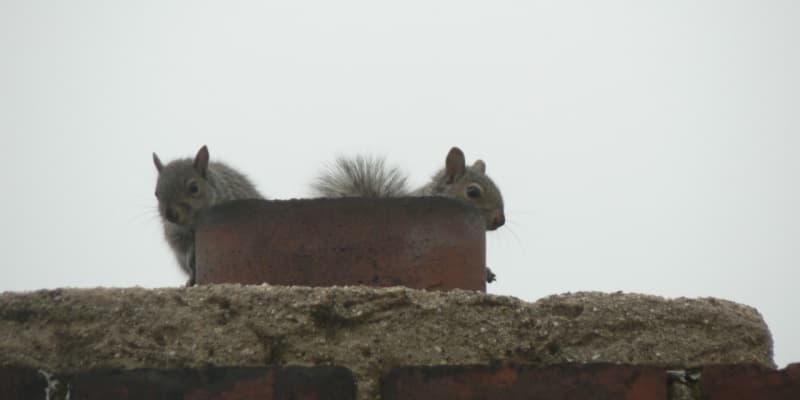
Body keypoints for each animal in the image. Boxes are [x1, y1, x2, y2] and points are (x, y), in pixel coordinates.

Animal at [153, 145, 264, 286]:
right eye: (156, 193)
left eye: (194, 188)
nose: (170, 215)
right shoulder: (174, 230)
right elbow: (181, 244)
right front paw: (190, 253)